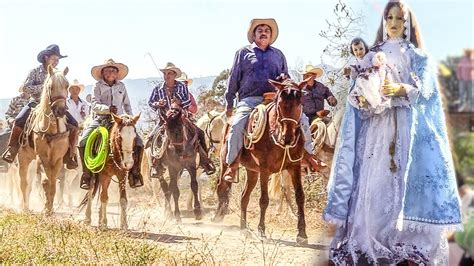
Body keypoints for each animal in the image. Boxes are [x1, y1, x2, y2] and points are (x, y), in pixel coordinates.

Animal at [16, 66, 69, 214]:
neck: (51, 129)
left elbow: (53, 181)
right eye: (50, 87)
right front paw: (46, 208)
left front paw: (50, 207)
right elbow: (46, 181)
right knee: (24, 183)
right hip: (23, 159)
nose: (61, 110)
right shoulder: (42, 157)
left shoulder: (57, 159)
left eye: (67, 86)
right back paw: (25, 207)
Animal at [213, 78, 310, 243]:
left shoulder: (294, 167)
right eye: (279, 104)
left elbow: (300, 197)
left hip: (252, 171)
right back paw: (219, 215)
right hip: (225, 162)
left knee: (244, 197)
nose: (288, 138)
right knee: (222, 186)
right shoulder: (265, 169)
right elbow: (264, 200)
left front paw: (302, 233)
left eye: (300, 103)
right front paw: (261, 230)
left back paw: (243, 229)